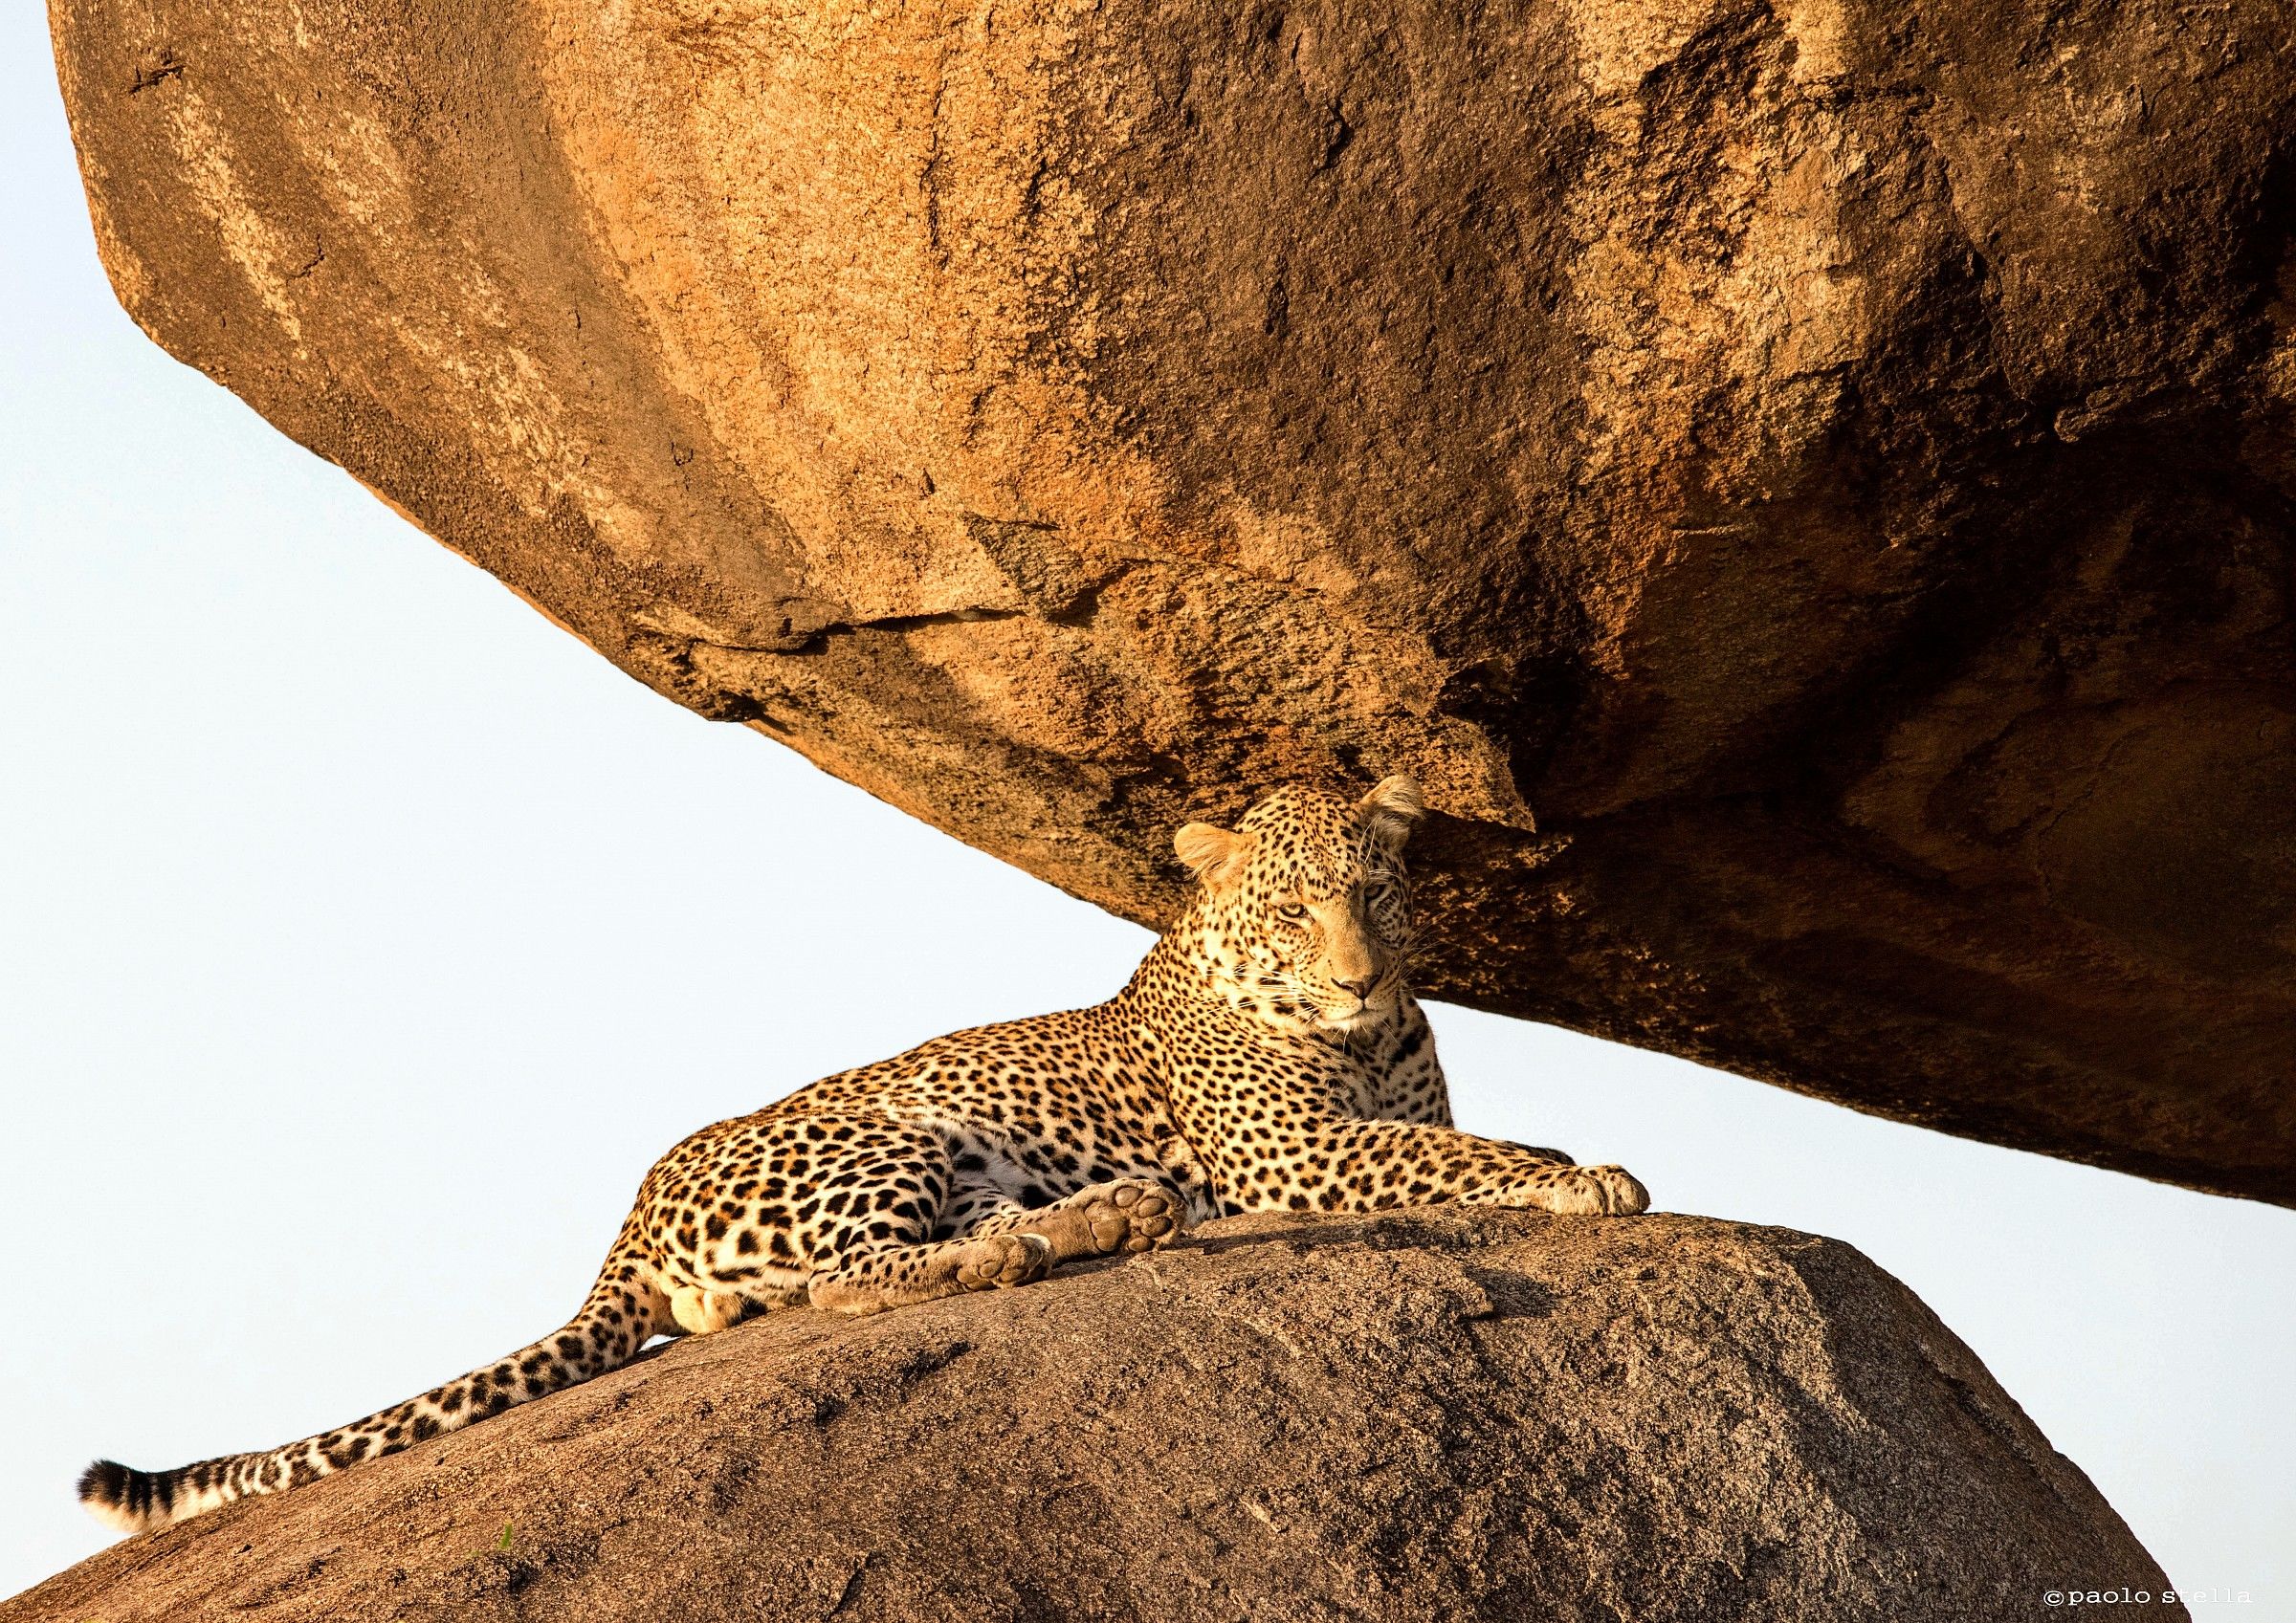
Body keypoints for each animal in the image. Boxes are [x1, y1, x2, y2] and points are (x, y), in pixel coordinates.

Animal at [80, 774, 1647, 1534]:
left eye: (1376, 893)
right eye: (1291, 909)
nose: (1358, 979)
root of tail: (627, 1221)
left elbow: (1454, 1140)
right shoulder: (1295, 1156)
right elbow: (1466, 1157)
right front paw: (1583, 1176)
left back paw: (1109, 1217)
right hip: (884, 1132)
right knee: (859, 1280)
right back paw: (1079, 1230)